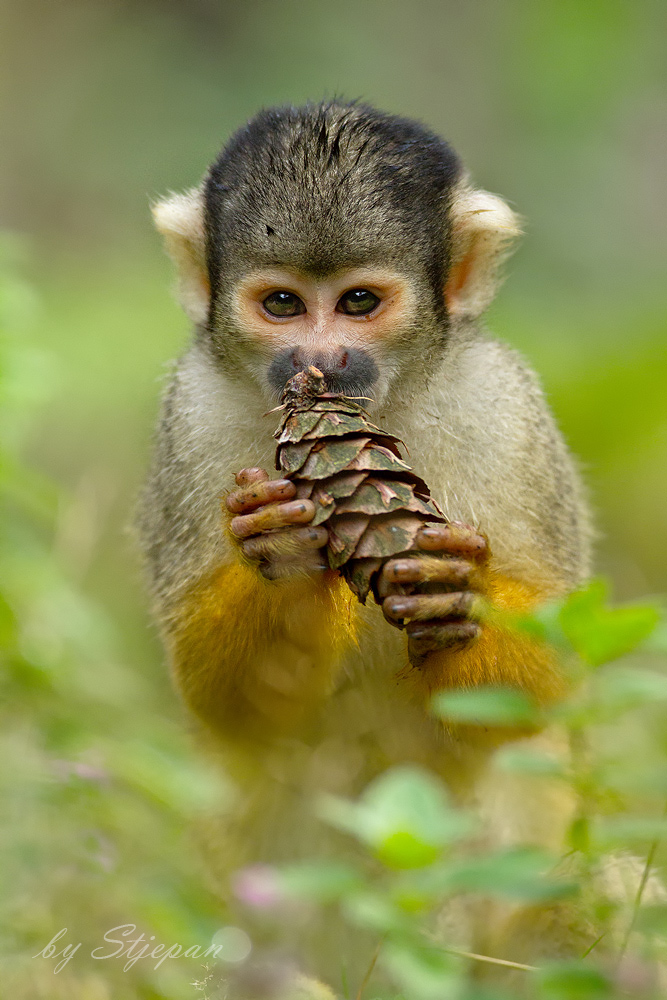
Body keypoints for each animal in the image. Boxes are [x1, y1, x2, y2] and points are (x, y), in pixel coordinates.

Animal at [137, 101, 596, 992]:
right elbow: (227, 706)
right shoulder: (189, 413)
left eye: (356, 302)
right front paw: (284, 558)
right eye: (283, 304)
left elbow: (541, 688)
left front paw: (457, 593)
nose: (318, 361)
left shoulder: (506, 404)